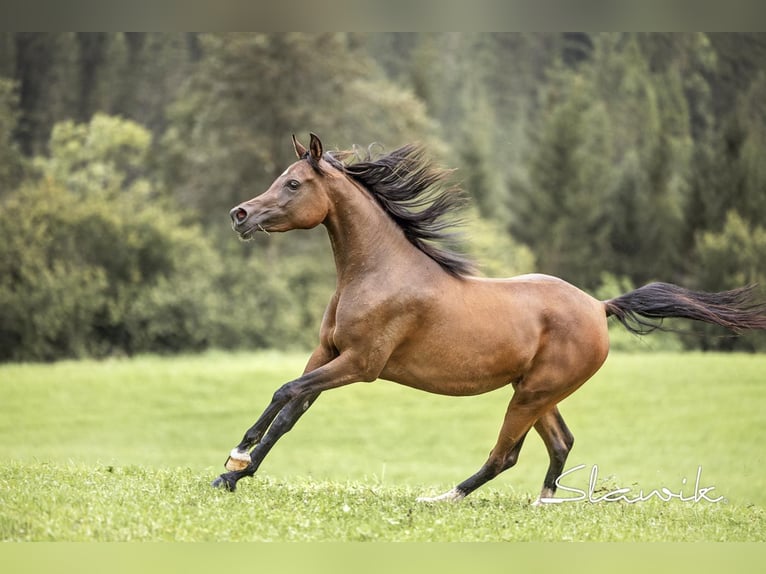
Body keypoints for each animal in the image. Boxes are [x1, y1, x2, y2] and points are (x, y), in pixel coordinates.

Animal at [214, 135, 766, 504]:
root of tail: (599, 307)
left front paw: (236, 455)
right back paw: (543, 505)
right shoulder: (327, 354)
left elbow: (284, 392)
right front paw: (232, 476)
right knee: (561, 444)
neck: (380, 272)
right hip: (537, 392)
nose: (239, 214)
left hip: (532, 394)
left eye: (293, 183)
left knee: (507, 455)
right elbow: (290, 413)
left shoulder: (359, 365)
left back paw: (444, 498)